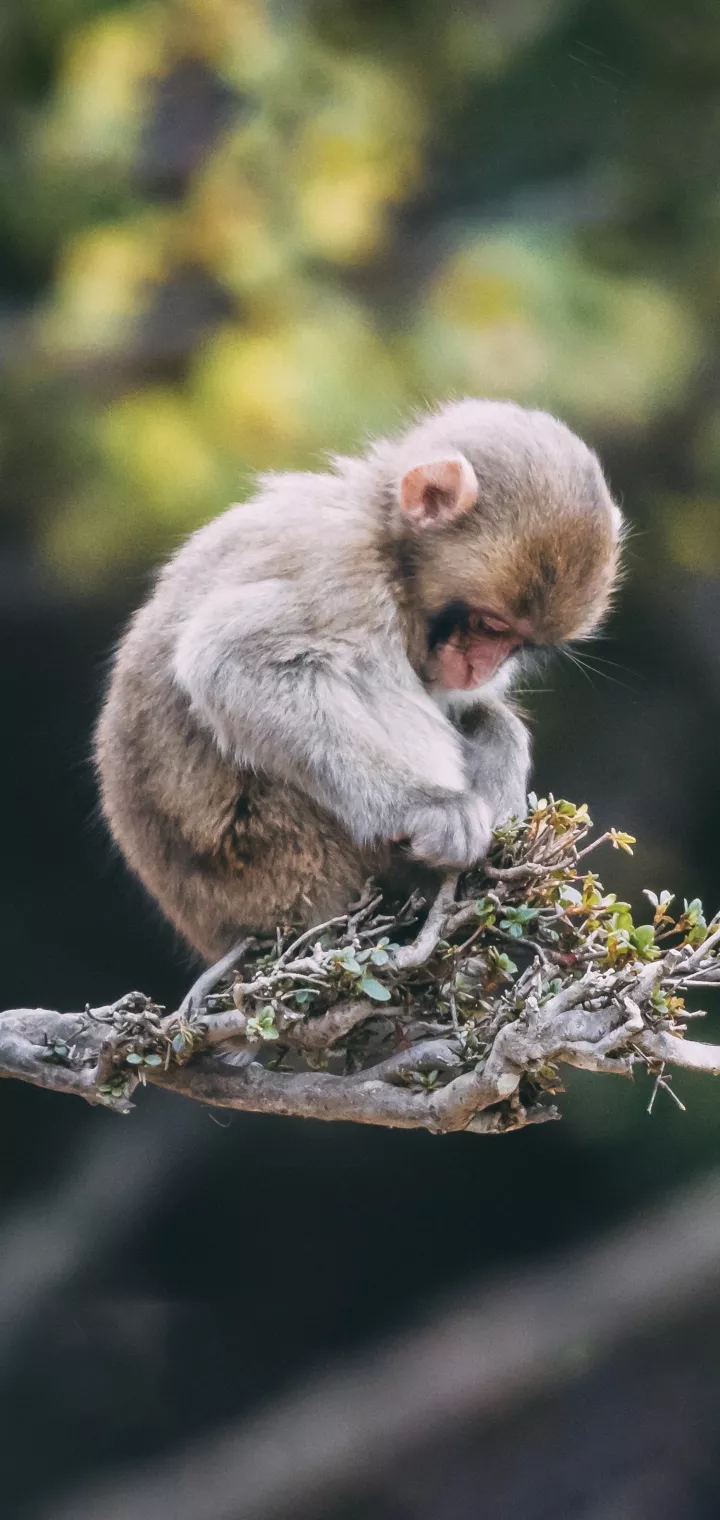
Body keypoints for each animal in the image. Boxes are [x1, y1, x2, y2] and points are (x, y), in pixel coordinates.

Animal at [95, 399, 623, 964]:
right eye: (489, 626)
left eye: (517, 644)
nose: (484, 668)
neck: (386, 540)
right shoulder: (340, 574)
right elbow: (232, 662)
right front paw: (426, 807)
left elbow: (470, 708)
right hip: (285, 865)